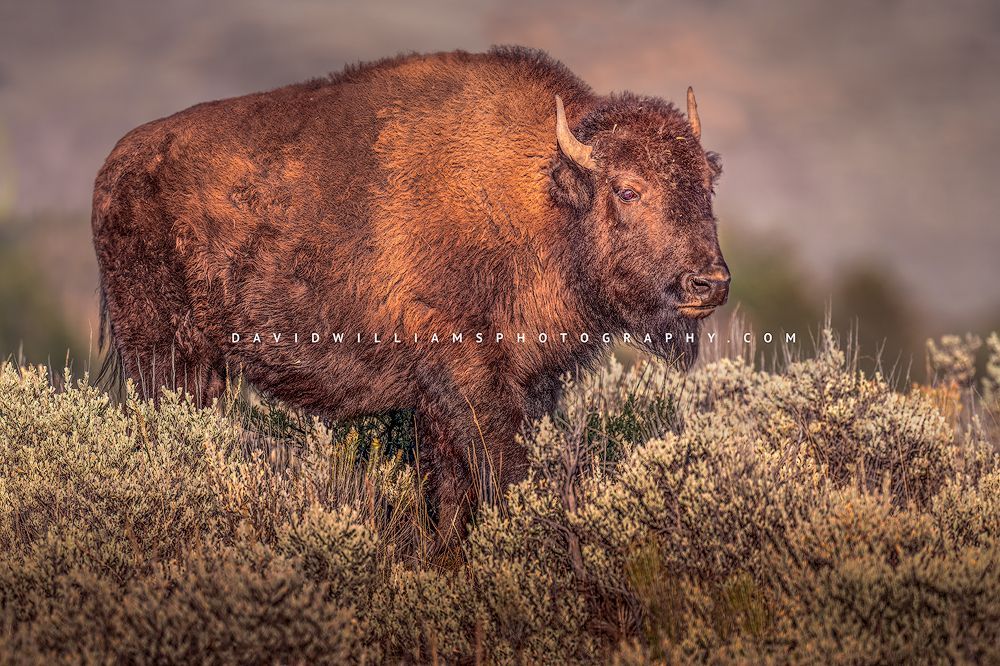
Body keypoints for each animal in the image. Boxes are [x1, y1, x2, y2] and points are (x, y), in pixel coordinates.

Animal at [92, 46, 729, 541]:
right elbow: (502, 472)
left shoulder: (504, 389)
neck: (542, 195)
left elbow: (451, 491)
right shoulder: (467, 377)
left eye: (707, 184)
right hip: (164, 354)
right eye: (627, 190)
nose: (709, 282)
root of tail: (115, 168)